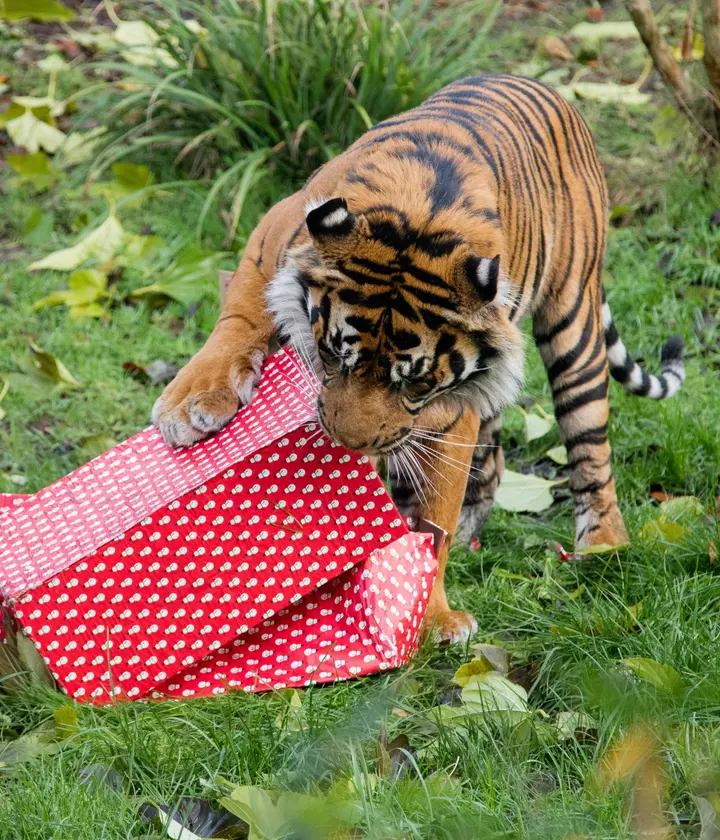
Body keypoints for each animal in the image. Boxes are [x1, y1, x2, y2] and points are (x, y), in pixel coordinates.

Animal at [153, 74, 685, 644]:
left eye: (414, 383)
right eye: (334, 355)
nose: (350, 444)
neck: (417, 213)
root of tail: (539, 84)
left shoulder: (448, 414)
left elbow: (433, 525)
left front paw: (432, 617)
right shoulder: (270, 237)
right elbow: (240, 318)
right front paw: (190, 405)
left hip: (573, 318)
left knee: (590, 446)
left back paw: (605, 545)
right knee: (494, 457)